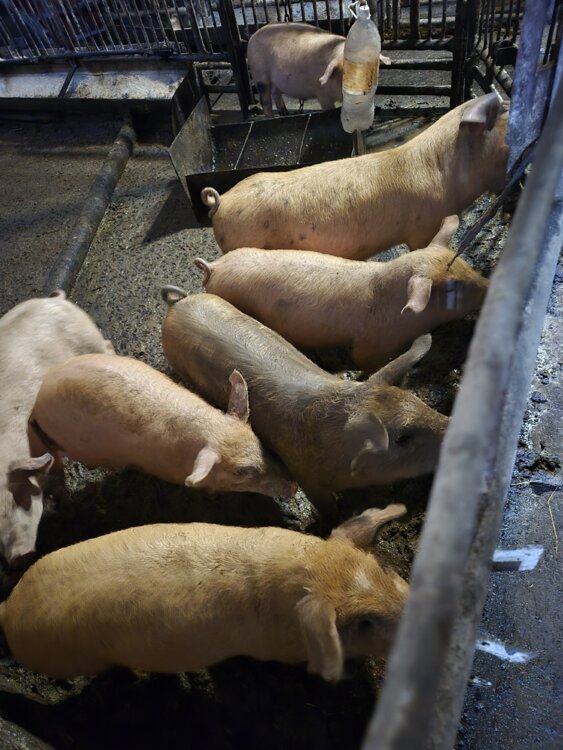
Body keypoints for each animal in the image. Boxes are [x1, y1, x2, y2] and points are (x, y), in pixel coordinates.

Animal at [0, 292, 111, 568]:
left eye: (19, 494)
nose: (18, 558)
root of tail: (54, 299)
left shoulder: (43, 441)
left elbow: (58, 476)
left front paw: (68, 507)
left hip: (90, 339)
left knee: (107, 345)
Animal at [161, 292, 449, 520]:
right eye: (403, 437)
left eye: (421, 402)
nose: (450, 426)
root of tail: (178, 303)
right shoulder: (305, 476)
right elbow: (326, 507)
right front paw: (335, 520)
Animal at [195, 215, 489, 372]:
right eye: (451, 288)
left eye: (465, 264)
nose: (488, 285)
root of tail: (214, 268)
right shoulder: (369, 344)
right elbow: (366, 362)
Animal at [247, 22, 391, 116]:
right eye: (345, 73)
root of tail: (252, 37)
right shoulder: (321, 94)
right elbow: (328, 108)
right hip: (259, 74)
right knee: (265, 99)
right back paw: (272, 117)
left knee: (275, 92)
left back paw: (285, 113)